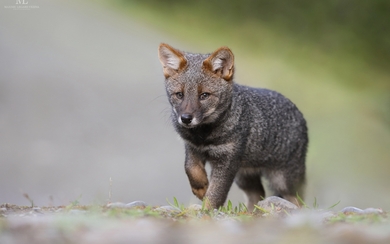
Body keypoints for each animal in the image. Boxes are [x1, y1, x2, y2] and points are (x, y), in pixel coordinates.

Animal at [156, 43, 308, 210]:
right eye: (179, 95)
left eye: (204, 95)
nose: (186, 119)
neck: (204, 136)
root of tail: (301, 115)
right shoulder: (192, 148)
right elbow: (191, 168)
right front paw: (201, 188)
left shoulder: (227, 161)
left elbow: (216, 192)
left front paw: (207, 211)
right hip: (244, 177)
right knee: (257, 194)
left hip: (282, 181)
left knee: (296, 200)